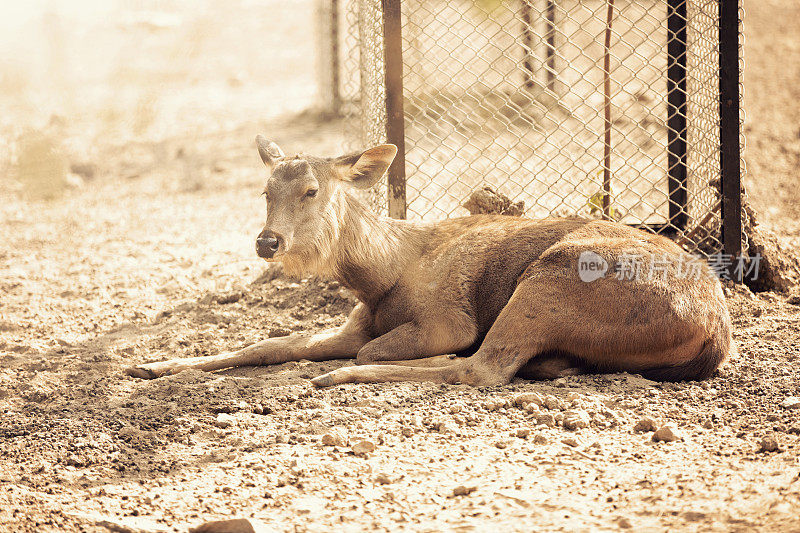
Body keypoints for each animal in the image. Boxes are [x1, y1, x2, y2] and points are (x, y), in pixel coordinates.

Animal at [123, 136, 732, 386]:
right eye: (264, 190)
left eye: (312, 190)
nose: (268, 242)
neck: (383, 276)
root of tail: (715, 335)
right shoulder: (357, 320)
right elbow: (268, 344)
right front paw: (152, 365)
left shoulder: (446, 319)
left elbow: (377, 346)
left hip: (554, 277)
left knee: (483, 367)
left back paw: (344, 375)